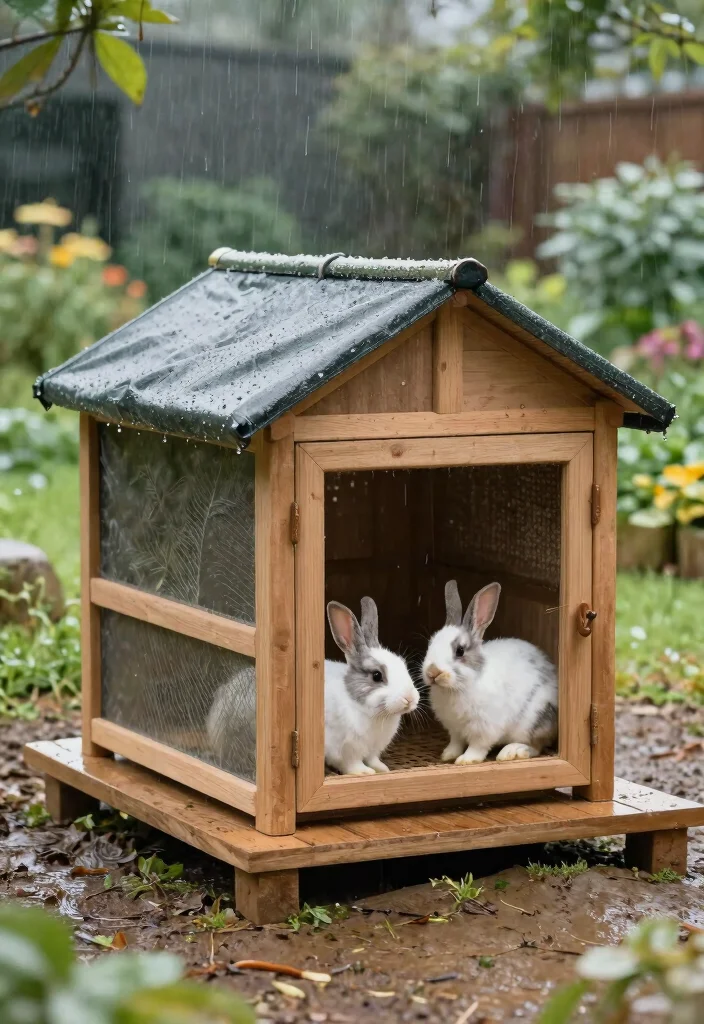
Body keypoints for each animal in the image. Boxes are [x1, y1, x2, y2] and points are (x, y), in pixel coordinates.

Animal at [325, 596, 419, 776]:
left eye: (402, 664)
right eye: (377, 676)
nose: (409, 698)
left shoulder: (374, 749)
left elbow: (373, 759)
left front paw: (382, 769)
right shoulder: (345, 750)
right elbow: (352, 764)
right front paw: (364, 772)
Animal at [422, 580, 557, 766]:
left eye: (460, 651)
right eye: (430, 644)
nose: (432, 672)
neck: (459, 686)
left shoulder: (485, 727)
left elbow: (478, 746)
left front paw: (466, 760)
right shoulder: (454, 729)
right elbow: (456, 742)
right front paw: (448, 755)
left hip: (532, 721)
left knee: (536, 746)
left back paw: (512, 752)